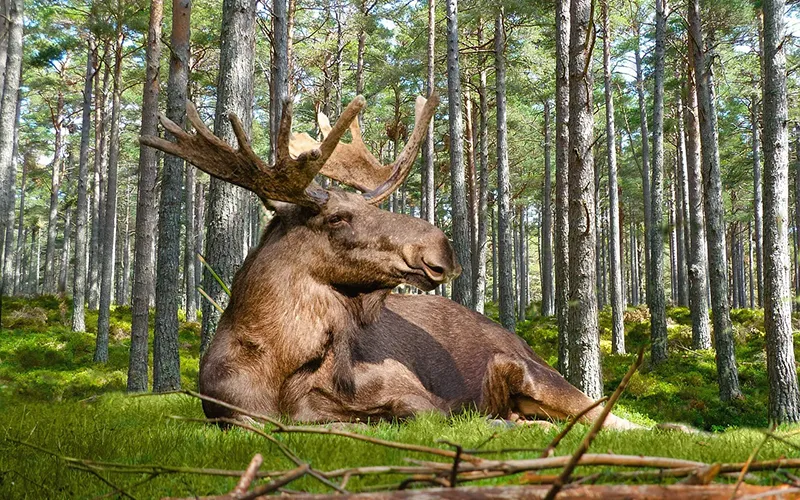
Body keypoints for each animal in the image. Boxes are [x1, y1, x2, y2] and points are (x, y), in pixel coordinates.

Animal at [140, 93, 640, 430]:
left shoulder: (415, 393)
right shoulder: (230, 412)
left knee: (611, 416)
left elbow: (403, 414)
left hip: (537, 373)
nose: (442, 248)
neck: (279, 364)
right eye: (338, 217)